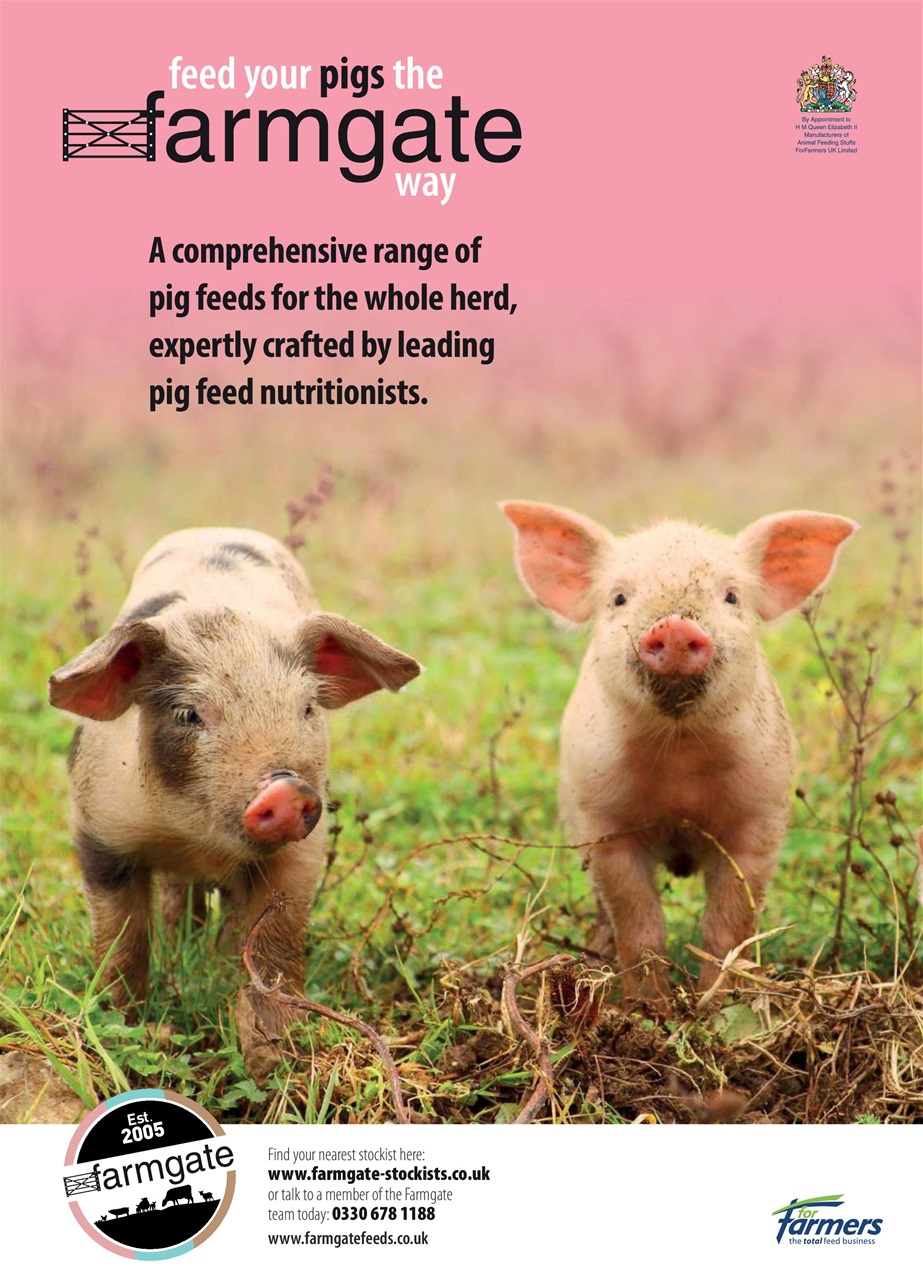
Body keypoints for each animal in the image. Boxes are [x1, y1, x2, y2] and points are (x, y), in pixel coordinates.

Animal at [49, 528, 421, 1053]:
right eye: (188, 714)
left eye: (307, 708)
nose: (285, 789)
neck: (196, 836)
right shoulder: (99, 828)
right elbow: (121, 937)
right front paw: (125, 1024)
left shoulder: (303, 852)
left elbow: (274, 943)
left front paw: (275, 1046)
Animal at [501, 502, 857, 1007]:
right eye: (619, 598)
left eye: (731, 596)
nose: (674, 625)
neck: (680, 759)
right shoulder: (604, 823)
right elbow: (641, 926)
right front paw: (648, 1009)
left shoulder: (760, 817)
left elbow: (728, 927)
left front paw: (717, 1006)